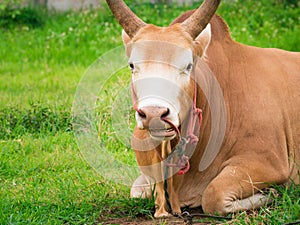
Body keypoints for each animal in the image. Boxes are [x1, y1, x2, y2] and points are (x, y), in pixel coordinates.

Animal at [105, 0, 300, 218]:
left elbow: (213, 196)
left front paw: (272, 193)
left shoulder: (269, 163)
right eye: (132, 65)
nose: (154, 113)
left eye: (188, 66)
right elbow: (138, 191)